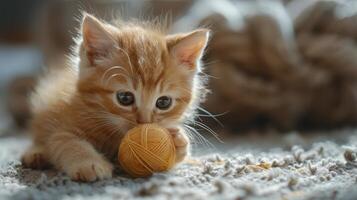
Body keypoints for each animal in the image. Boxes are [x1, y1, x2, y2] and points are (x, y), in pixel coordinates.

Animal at [21, 14, 209, 182]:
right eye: (125, 98)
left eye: (163, 102)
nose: (144, 122)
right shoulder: (63, 126)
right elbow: (67, 142)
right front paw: (89, 163)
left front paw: (178, 142)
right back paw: (36, 154)